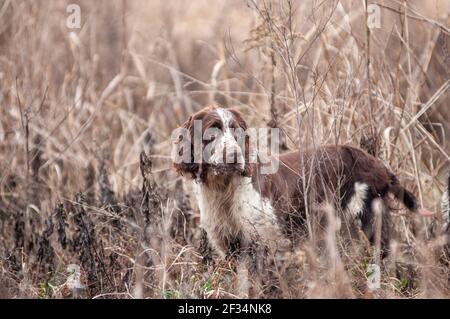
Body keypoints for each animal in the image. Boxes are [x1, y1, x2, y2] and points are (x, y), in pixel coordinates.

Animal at [173, 106, 432, 258]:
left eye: (237, 132)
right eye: (211, 133)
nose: (234, 156)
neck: (223, 188)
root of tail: (376, 163)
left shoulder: (268, 242)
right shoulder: (230, 245)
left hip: (367, 216)